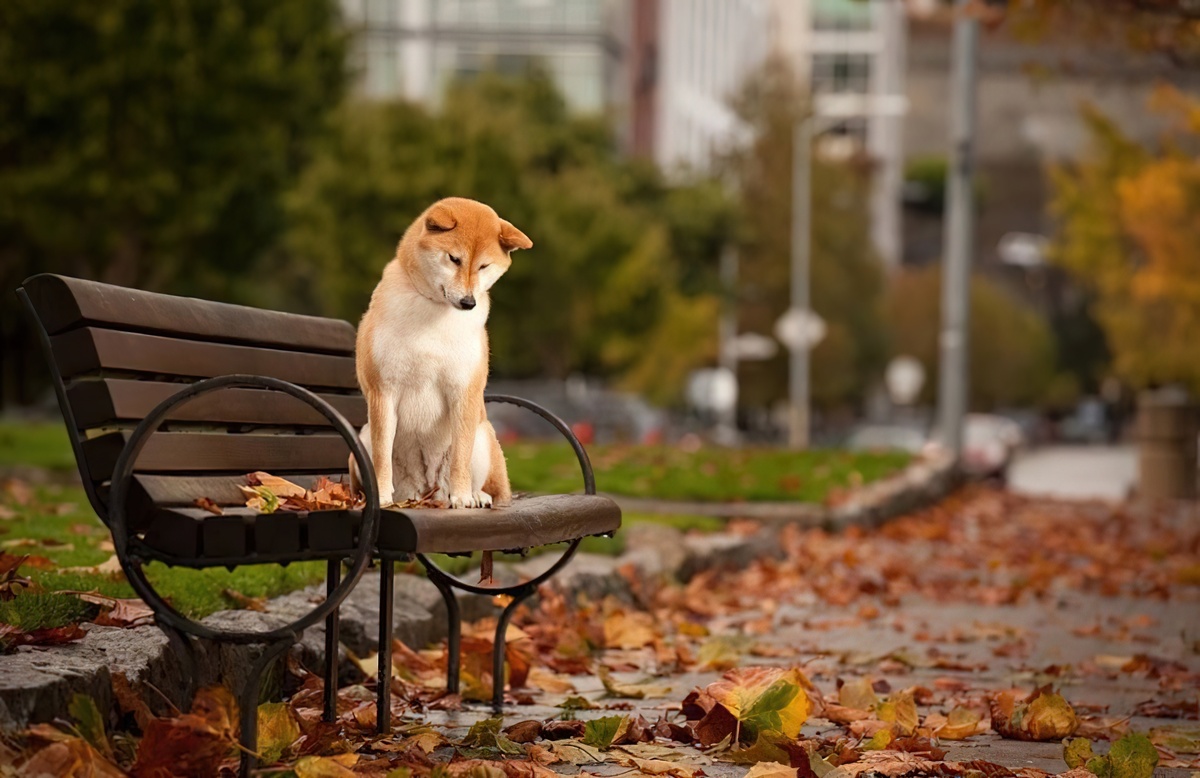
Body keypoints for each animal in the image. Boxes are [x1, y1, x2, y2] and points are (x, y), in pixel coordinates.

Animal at [350, 198, 532, 506]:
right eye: (454, 259)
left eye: (483, 266)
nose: (468, 302)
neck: (434, 311)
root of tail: (427, 491)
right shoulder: (383, 391)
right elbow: (381, 456)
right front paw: (382, 496)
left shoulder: (463, 392)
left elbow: (460, 456)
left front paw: (462, 497)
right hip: (362, 440)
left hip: (483, 435)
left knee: (487, 482)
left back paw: (475, 495)